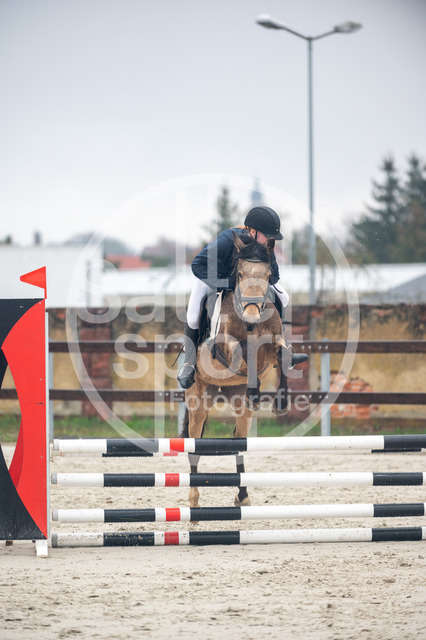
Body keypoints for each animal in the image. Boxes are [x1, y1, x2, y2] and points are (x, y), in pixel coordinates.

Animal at [180, 233, 292, 509]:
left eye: (267, 275)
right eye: (240, 274)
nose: (252, 318)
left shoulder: (276, 342)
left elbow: (284, 356)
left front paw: (281, 402)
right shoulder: (225, 349)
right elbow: (244, 352)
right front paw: (256, 388)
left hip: (238, 405)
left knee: (239, 442)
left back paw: (242, 496)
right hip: (198, 399)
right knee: (194, 443)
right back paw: (194, 498)